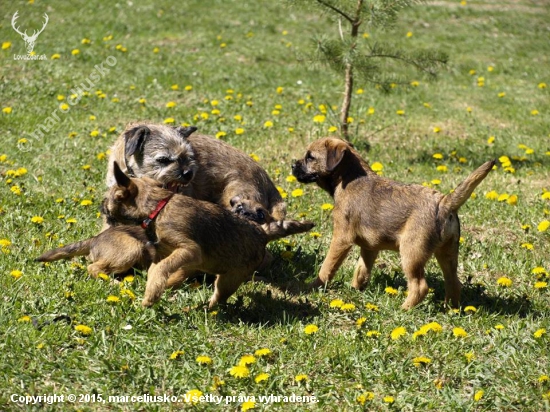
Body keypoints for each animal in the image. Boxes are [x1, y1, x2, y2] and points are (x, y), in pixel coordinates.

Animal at [101, 163, 312, 308]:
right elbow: (156, 269)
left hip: (229, 280)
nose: (101, 206)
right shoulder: (167, 253)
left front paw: (150, 297)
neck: (158, 207)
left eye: (110, 197)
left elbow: (161, 268)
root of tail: (262, 231)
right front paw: (153, 290)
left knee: (218, 298)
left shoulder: (190, 249)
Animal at [294, 138, 496, 308]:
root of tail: (445, 203)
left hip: (411, 253)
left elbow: (327, 267)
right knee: (454, 282)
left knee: (420, 286)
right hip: (447, 253)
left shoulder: (341, 239)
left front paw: (312, 287)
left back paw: (404, 309)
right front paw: (354, 290)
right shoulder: (369, 247)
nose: (292, 165)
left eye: (310, 157)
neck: (350, 179)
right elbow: (361, 270)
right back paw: (450, 310)